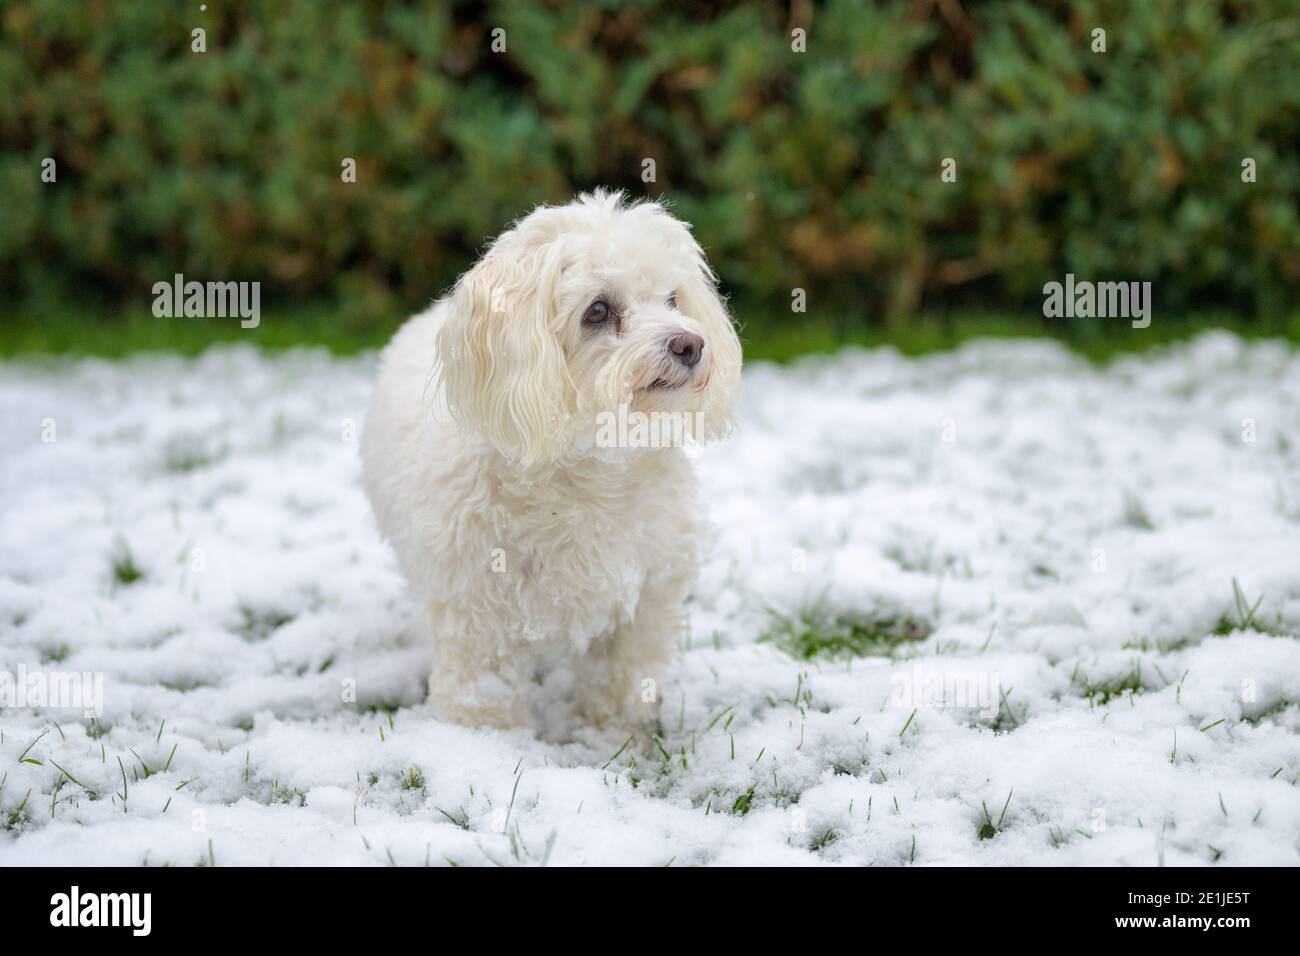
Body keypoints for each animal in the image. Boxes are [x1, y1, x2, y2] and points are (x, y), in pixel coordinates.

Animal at [361, 195, 743, 733]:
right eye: (598, 310)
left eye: (673, 298)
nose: (690, 344)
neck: (589, 473)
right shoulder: (475, 612)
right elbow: (484, 697)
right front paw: (482, 743)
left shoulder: (644, 597)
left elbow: (622, 676)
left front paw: (618, 732)